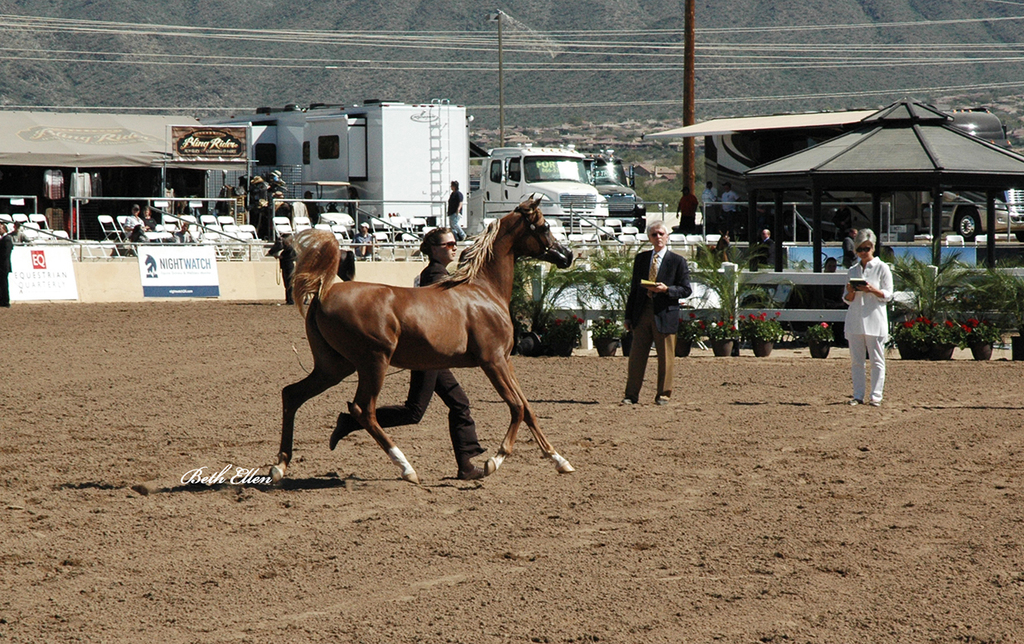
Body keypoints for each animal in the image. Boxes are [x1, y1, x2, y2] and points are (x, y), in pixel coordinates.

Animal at [272, 197, 576, 484]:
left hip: (334, 367)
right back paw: (406, 468)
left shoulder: (506, 361)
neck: (483, 291)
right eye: (545, 227)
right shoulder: (493, 361)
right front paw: (494, 461)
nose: (568, 255)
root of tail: (322, 294)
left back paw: (280, 466)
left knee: (293, 395)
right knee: (363, 410)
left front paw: (560, 460)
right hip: (373, 362)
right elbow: (516, 407)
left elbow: (528, 409)